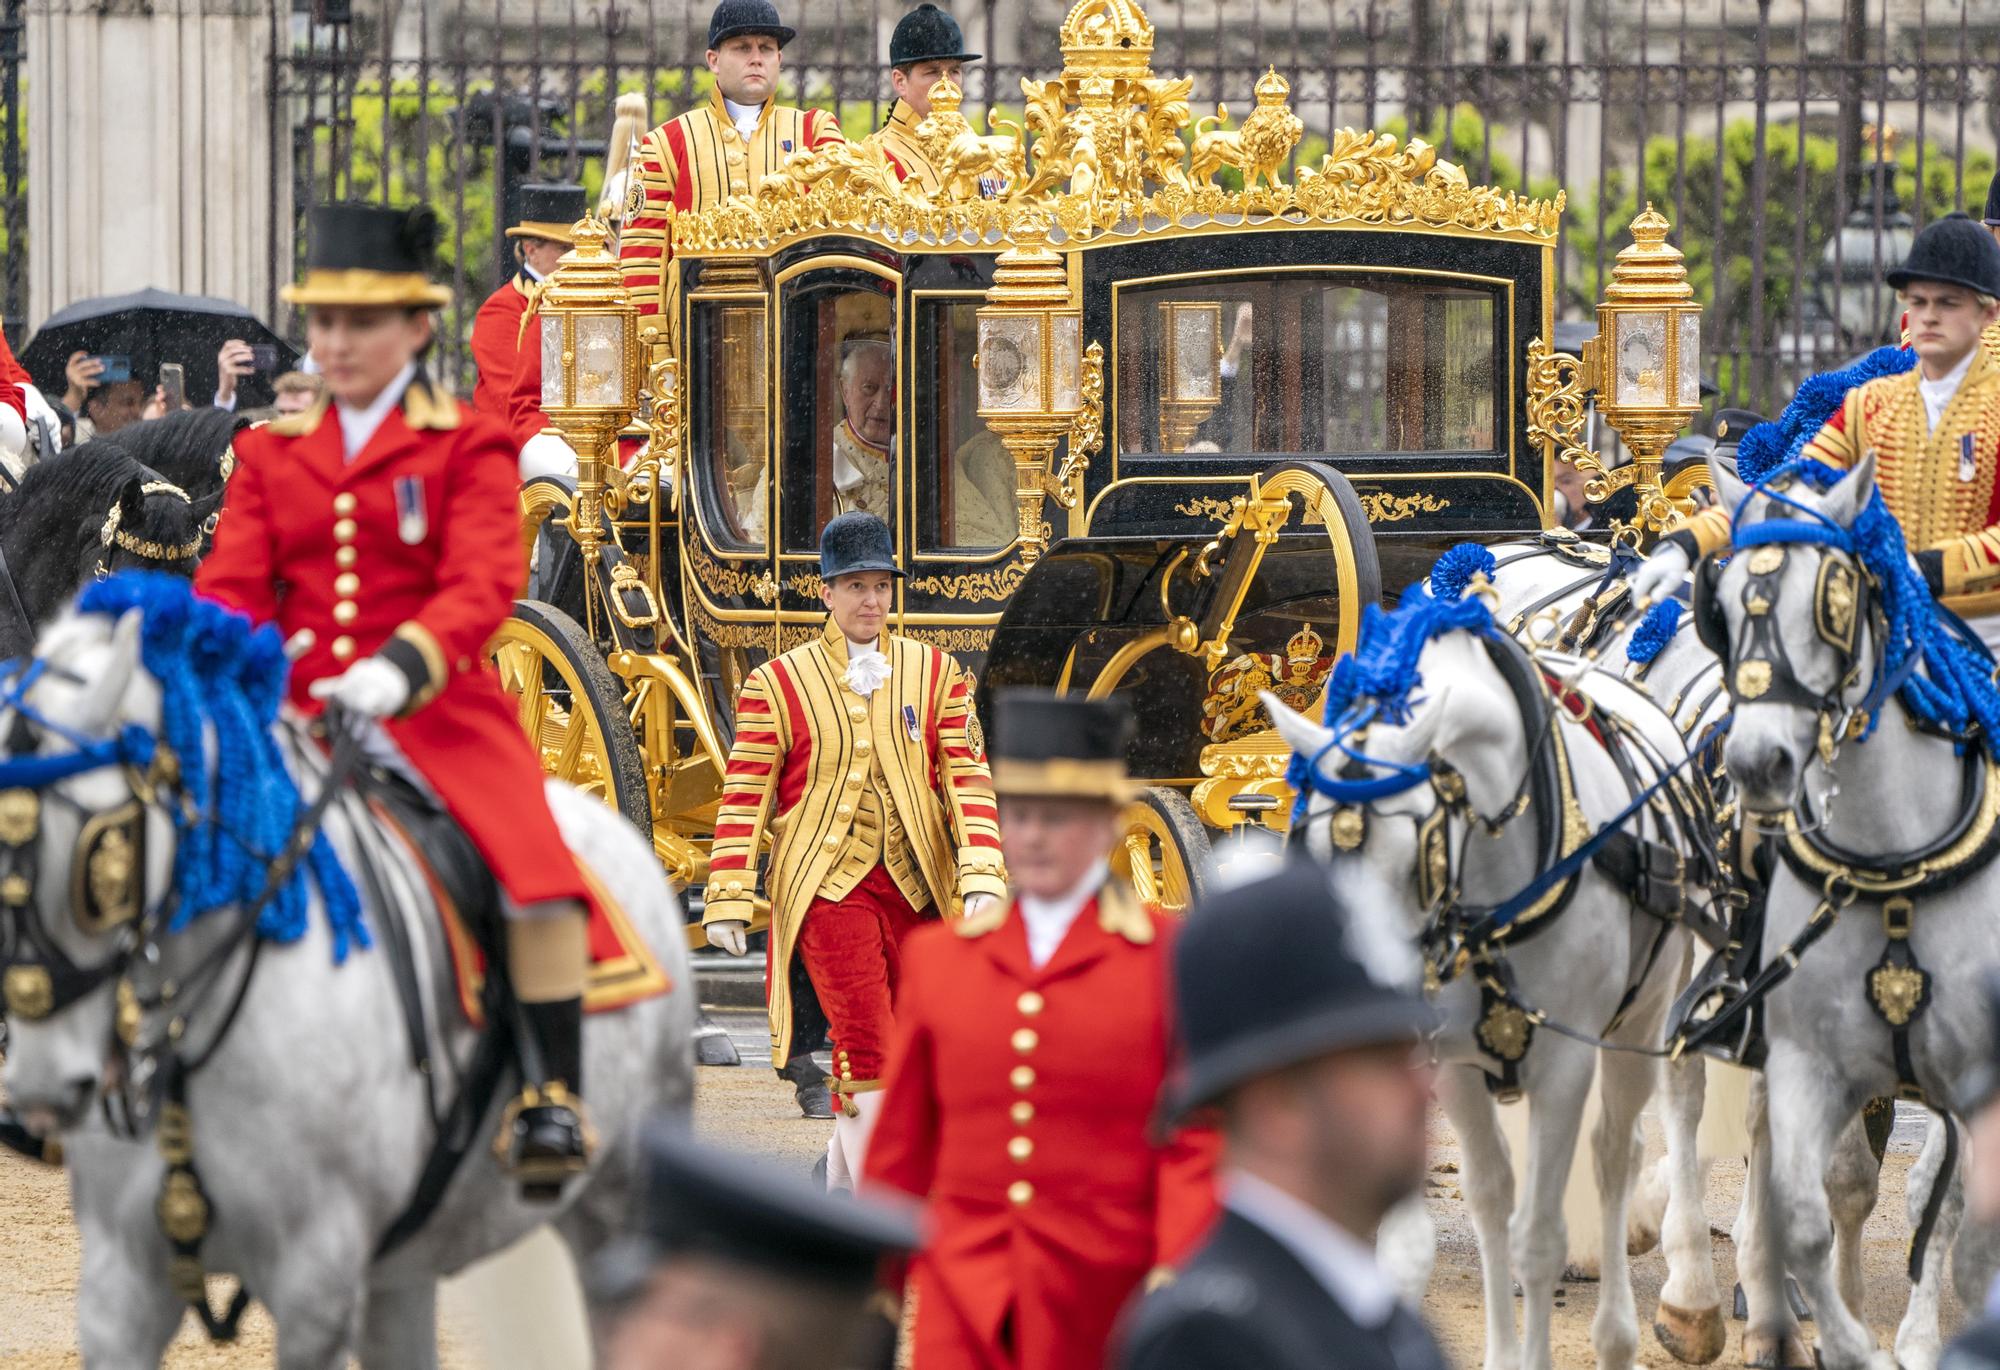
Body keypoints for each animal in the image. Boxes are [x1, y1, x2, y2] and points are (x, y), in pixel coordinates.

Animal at [1272, 592, 1712, 1370]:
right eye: (1310, 843)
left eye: (1414, 854)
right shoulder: (1456, 1067)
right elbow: (1490, 1208)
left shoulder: (1565, 1066)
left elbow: (1537, 1237)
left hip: (1638, 1024)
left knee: (1615, 1154)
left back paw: (1623, 1330)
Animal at [1696, 454, 2000, 1368]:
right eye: (1724, 607)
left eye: (1833, 599)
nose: (1758, 762)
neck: (1893, 859)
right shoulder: (1806, 1051)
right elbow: (1818, 1199)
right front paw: (1842, 1333)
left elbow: (1947, 1206)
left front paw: (1919, 1336)